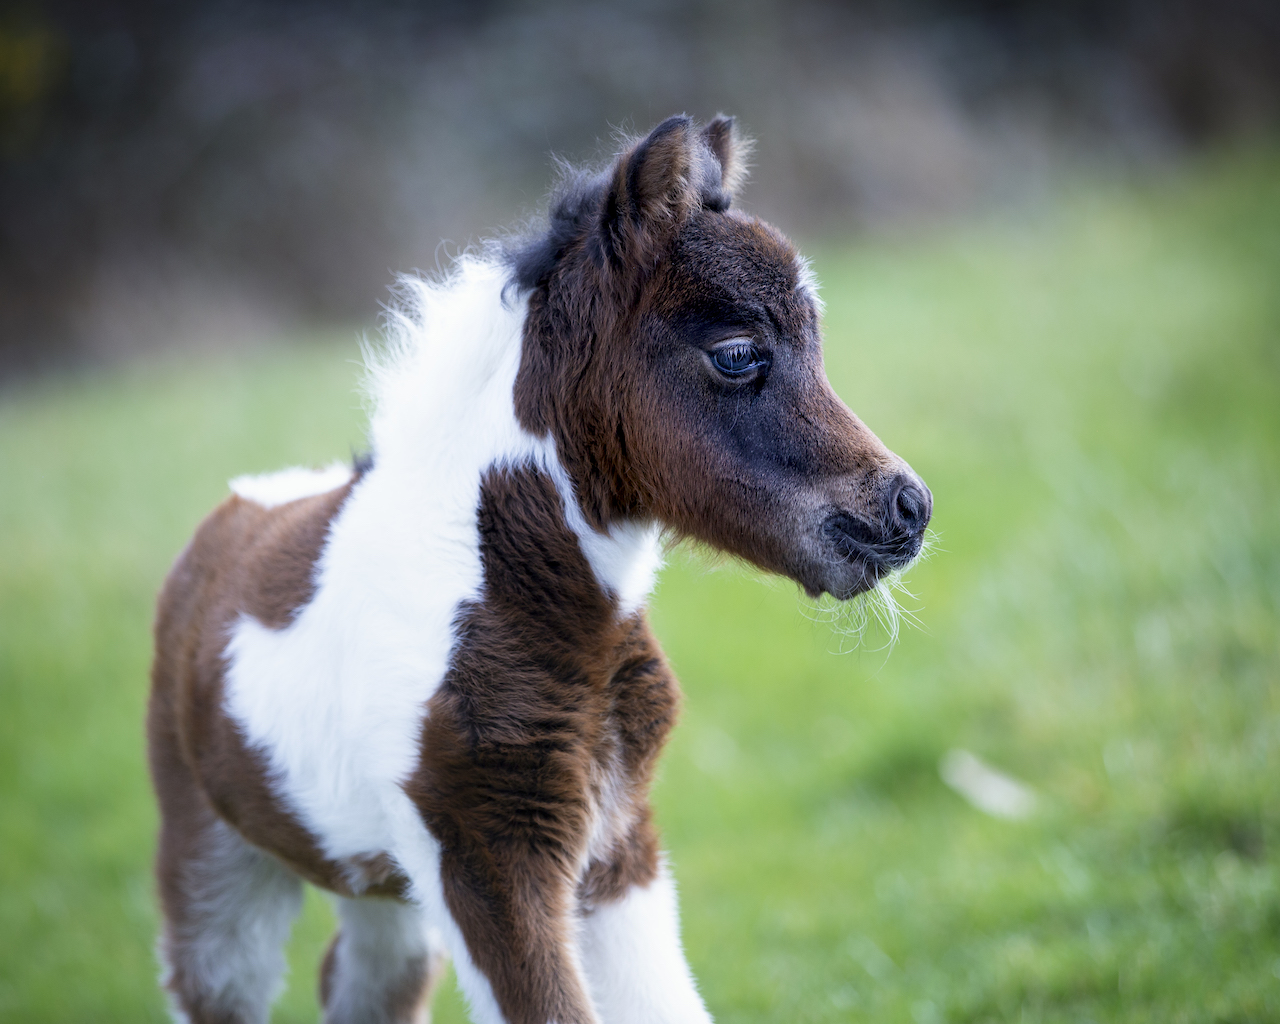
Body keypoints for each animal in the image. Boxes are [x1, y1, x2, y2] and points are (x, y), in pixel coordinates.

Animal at [147, 114, 931, 1024]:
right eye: (738, 353)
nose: (908, 509)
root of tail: (240, 504)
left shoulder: (617, 845)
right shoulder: (485, 857)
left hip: (374, 873)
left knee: (367, 979)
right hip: (214, 848)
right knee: (217, 985)